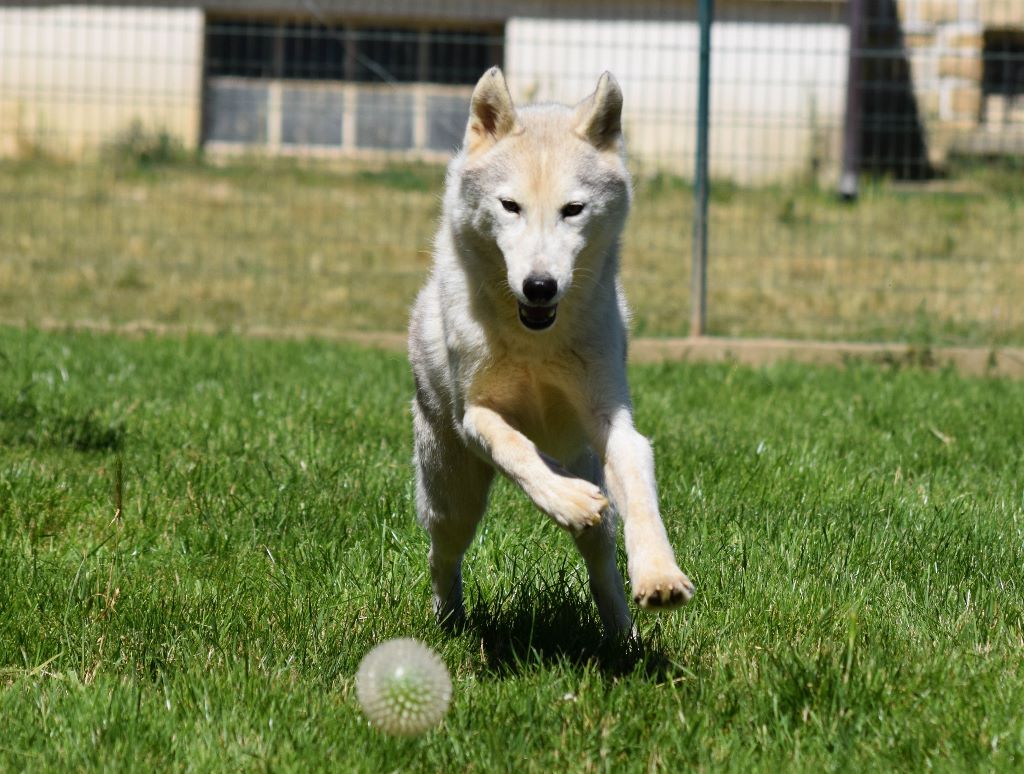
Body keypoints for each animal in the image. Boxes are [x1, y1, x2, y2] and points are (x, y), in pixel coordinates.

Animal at [409, 68, 696, 634]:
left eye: (573, 209)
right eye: (510, 206)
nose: (539, 287)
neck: (535, 343)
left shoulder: (613, 421)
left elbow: (641, 495)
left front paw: (659, 575)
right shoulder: (475, 415)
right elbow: (515, 447)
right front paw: (564, 497)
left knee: (602, 556)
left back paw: (622, 634)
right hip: (453, 495)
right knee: (442, 555)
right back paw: (449, 620)